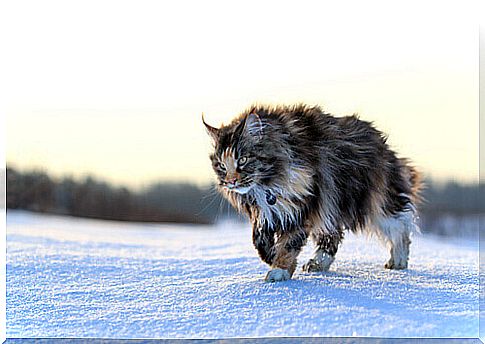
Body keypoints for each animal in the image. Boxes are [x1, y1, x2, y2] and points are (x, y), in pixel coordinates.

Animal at [202, 105, 422, 282]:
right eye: (221, 165)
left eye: (243, 159)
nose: (231, 181)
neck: (266, 185)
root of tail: (383, 143)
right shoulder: (266, 212)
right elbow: (259, 240)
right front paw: (272, 256)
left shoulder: (304, 203)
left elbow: (289, 243)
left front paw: (279, 270)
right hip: (333, 205)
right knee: (332, 236)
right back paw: (318, 264)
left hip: (372, 199)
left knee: (400, 225)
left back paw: (399, 260)